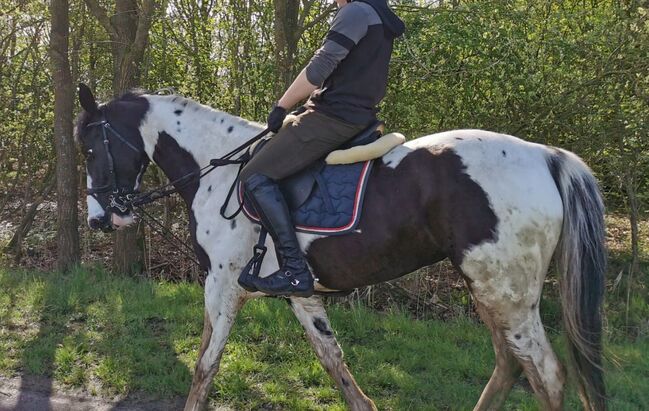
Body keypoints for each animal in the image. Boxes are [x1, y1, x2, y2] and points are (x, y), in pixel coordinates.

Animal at [76, 84, 608, 411]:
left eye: (89, 147)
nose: (100, 218)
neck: (217, 170)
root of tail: (544, 155)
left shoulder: (221, 285)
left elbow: (205, 364)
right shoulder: (300, 292)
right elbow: (334, 362)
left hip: (506, 292)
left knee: (544, 374)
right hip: (489, 289)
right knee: (509, 365)